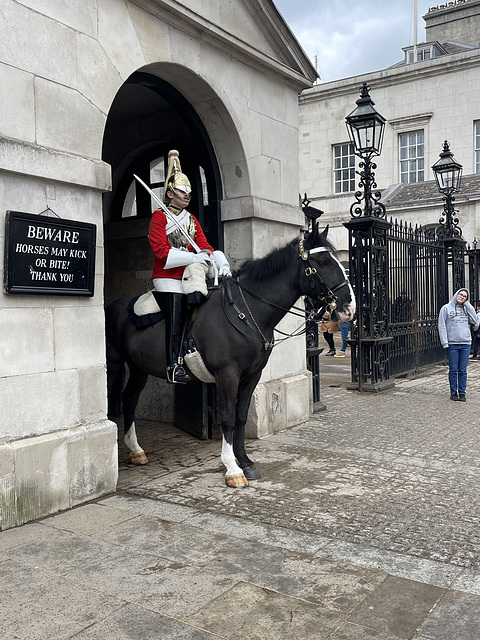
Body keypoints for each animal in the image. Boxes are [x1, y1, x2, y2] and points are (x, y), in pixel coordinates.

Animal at [107, 225, 354, 484]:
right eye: (324, 262)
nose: (349, 308)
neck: (246, 311)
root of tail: (113, 305)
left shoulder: (252, 375)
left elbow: (241, 416)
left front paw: (244, 461)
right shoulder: (227, 374)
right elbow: (228, 417)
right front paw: (232, 468)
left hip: (139, 367)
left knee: (129, 399)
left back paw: (136, 450)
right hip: (113, 364)